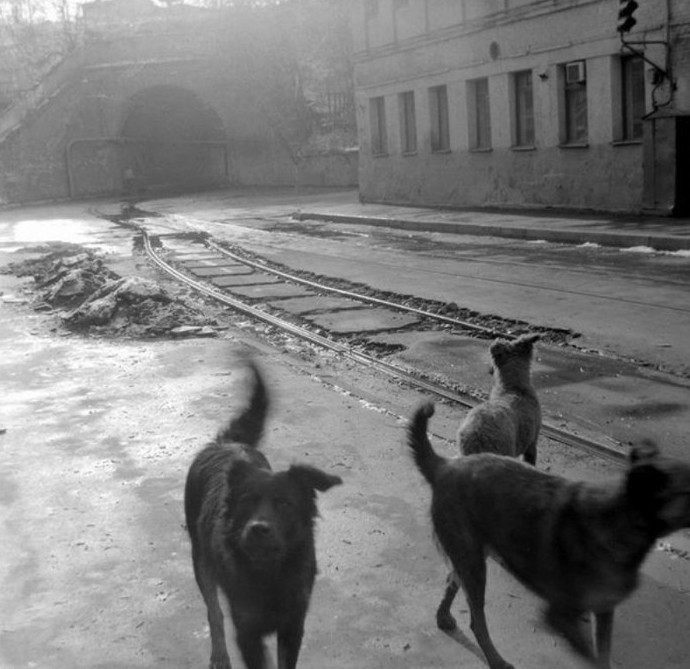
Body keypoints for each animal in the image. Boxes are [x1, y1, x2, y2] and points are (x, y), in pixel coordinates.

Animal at [185, 358, 342, 668]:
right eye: (246, 501)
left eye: (286, 504)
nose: (258, 528)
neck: (269, 571)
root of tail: (224, 443)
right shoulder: (247, 630)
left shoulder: (292, 626)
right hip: (200, 558)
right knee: (214, 611)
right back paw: (219, 653)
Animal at [406, 402, 688, 668]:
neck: (619, 517)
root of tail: (444, 466)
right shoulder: (559, 615)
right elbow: (594, 659)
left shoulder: (604, 610)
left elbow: (603, 655)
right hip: (473, 563)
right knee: (477, 621)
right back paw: (496, 660)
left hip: (470, 555)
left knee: (452, 580)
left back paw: (443, 617)